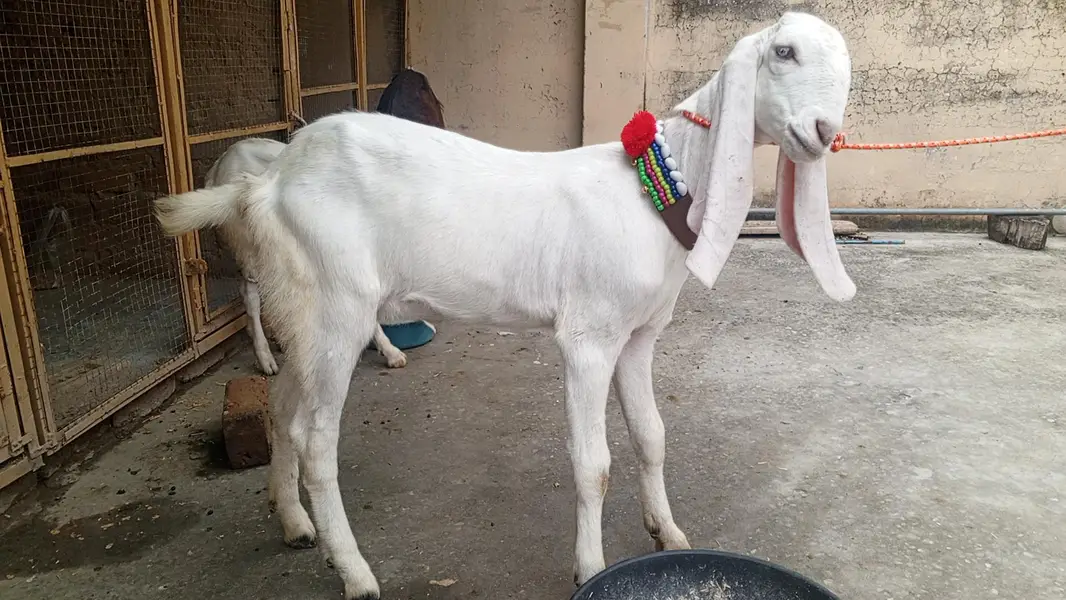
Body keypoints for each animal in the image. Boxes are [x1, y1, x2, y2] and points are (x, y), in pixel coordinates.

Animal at [154, 12, 855, 599]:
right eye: (784, 52)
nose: (824, 133)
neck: (654, 186)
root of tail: (265, 182)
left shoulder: (638, 334)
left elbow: (653, 436)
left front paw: (670, 533)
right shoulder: (588, 337)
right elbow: (593, 463)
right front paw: (590, 566)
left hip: (302, 306)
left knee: (279, 407)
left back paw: (294, 522)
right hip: (335, 305)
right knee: (315, 438)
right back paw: (355, 573)